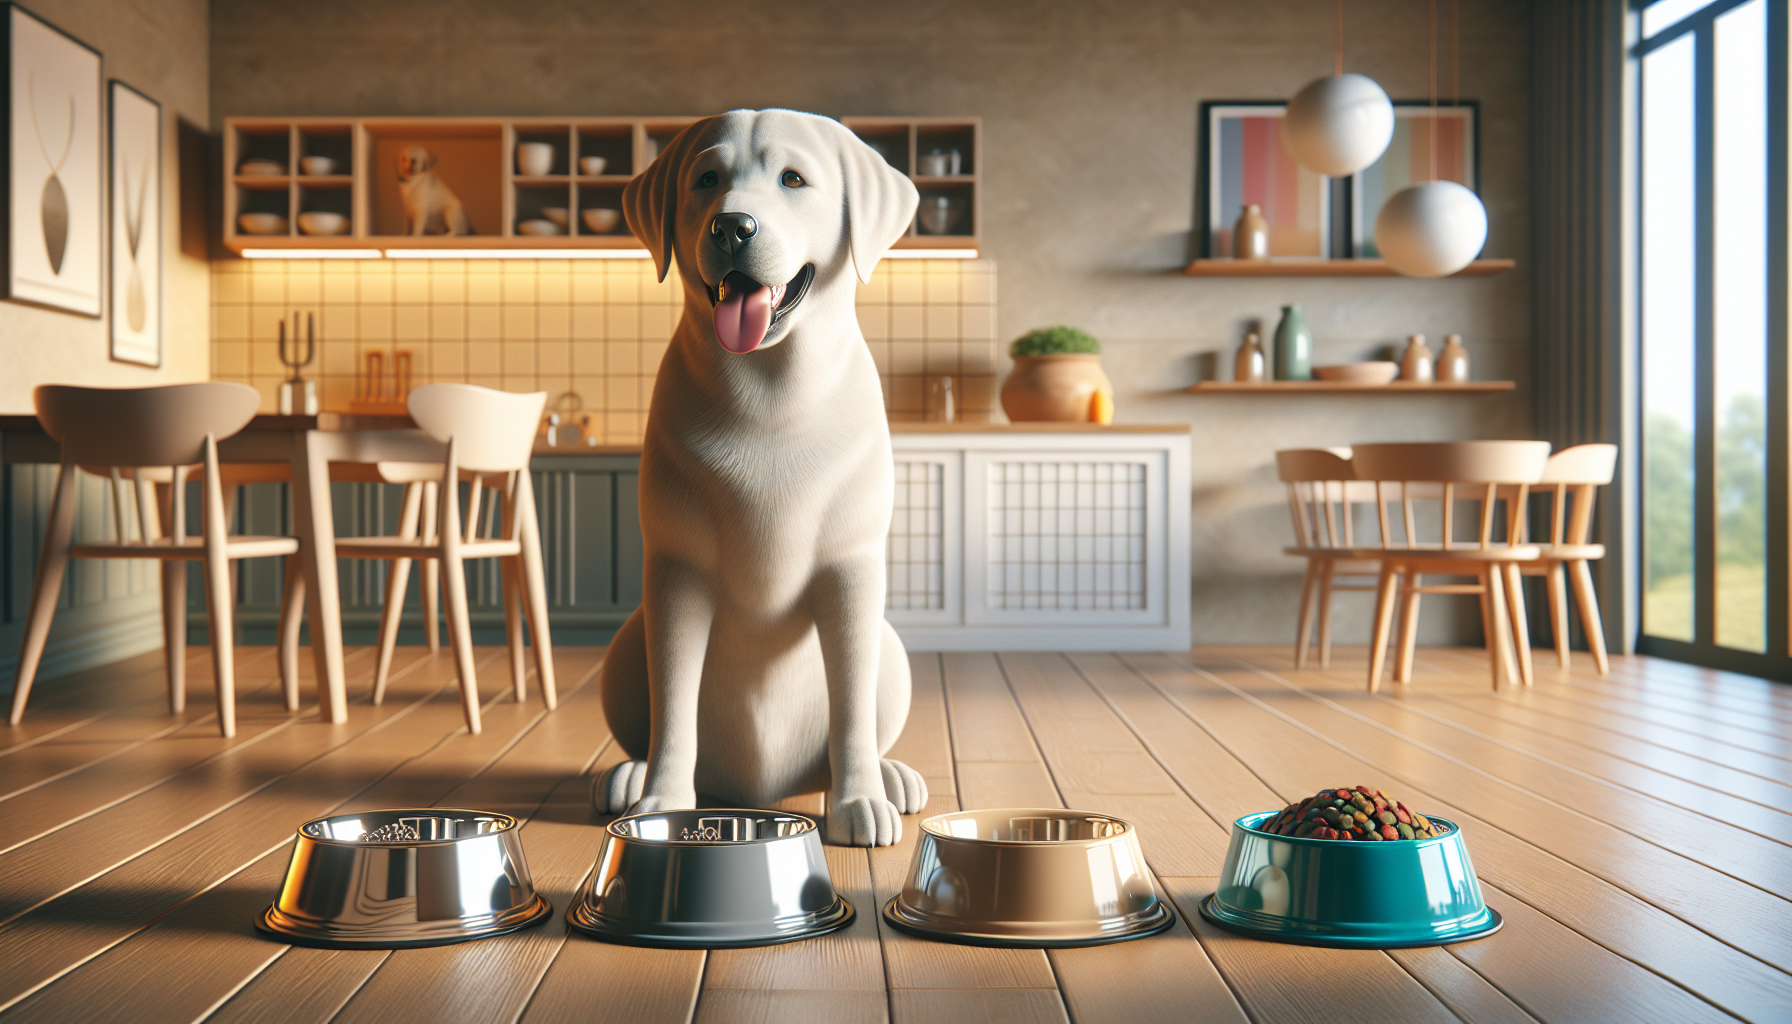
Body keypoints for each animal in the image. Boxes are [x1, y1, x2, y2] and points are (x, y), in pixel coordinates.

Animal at [598, 110, 931, 850]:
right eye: (705, 180)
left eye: (793, 180)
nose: (732, 226)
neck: (768, 391)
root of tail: (763, 790)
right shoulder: (676, 576)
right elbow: (675, 704)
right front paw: (664, 797)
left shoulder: (850, 574)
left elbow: (851, 709)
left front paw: (859, 799)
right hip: (626, 644)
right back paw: (630, 776)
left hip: (893, 649)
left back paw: (892, 779)